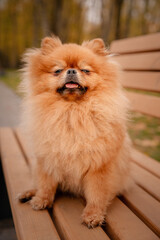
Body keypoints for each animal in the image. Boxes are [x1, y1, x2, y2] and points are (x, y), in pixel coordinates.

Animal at [18, 36, 131, 228]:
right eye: (58, 71)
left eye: (85, 70)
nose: (71, 71)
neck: (71, 111)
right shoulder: (48, 158)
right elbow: (46, 183)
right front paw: (42, 199)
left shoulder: (99, 165)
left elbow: (97, 193)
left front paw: (93, 215)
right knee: (37, 181)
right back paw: (29, 193)